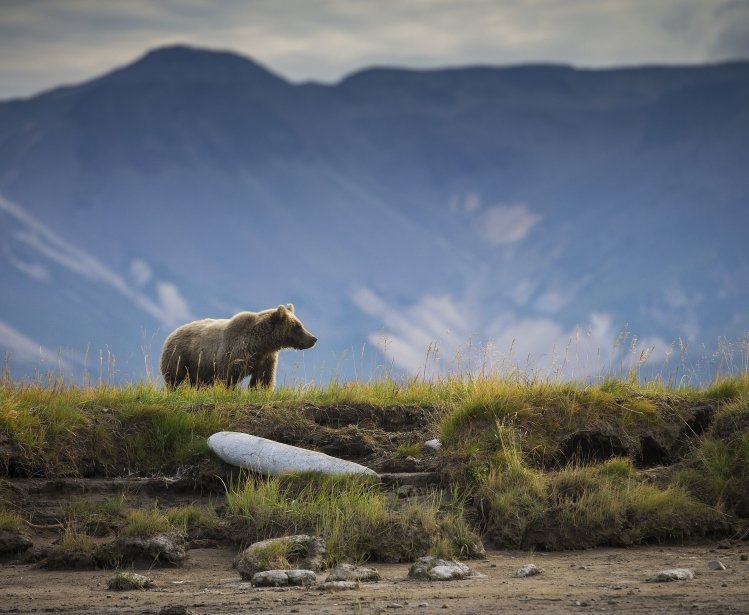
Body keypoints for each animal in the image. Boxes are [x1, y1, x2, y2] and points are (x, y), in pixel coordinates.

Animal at [161, 304, 316, 390]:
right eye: (297, 326)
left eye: (300, 324)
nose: (313, 339)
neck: (261, 344)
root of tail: (173, 332)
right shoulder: (235, 353)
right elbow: (228, 377)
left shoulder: (266, 358)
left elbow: (263, 380)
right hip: (182, 356)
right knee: (175, 377)